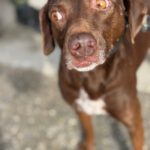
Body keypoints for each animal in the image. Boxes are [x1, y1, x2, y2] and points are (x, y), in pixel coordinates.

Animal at [39, 0, 150, 150]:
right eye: (56, 15)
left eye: (102, 4)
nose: (82, 45)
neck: (91, 76)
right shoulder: (81, 108)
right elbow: (88, 131)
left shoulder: (134, 122)